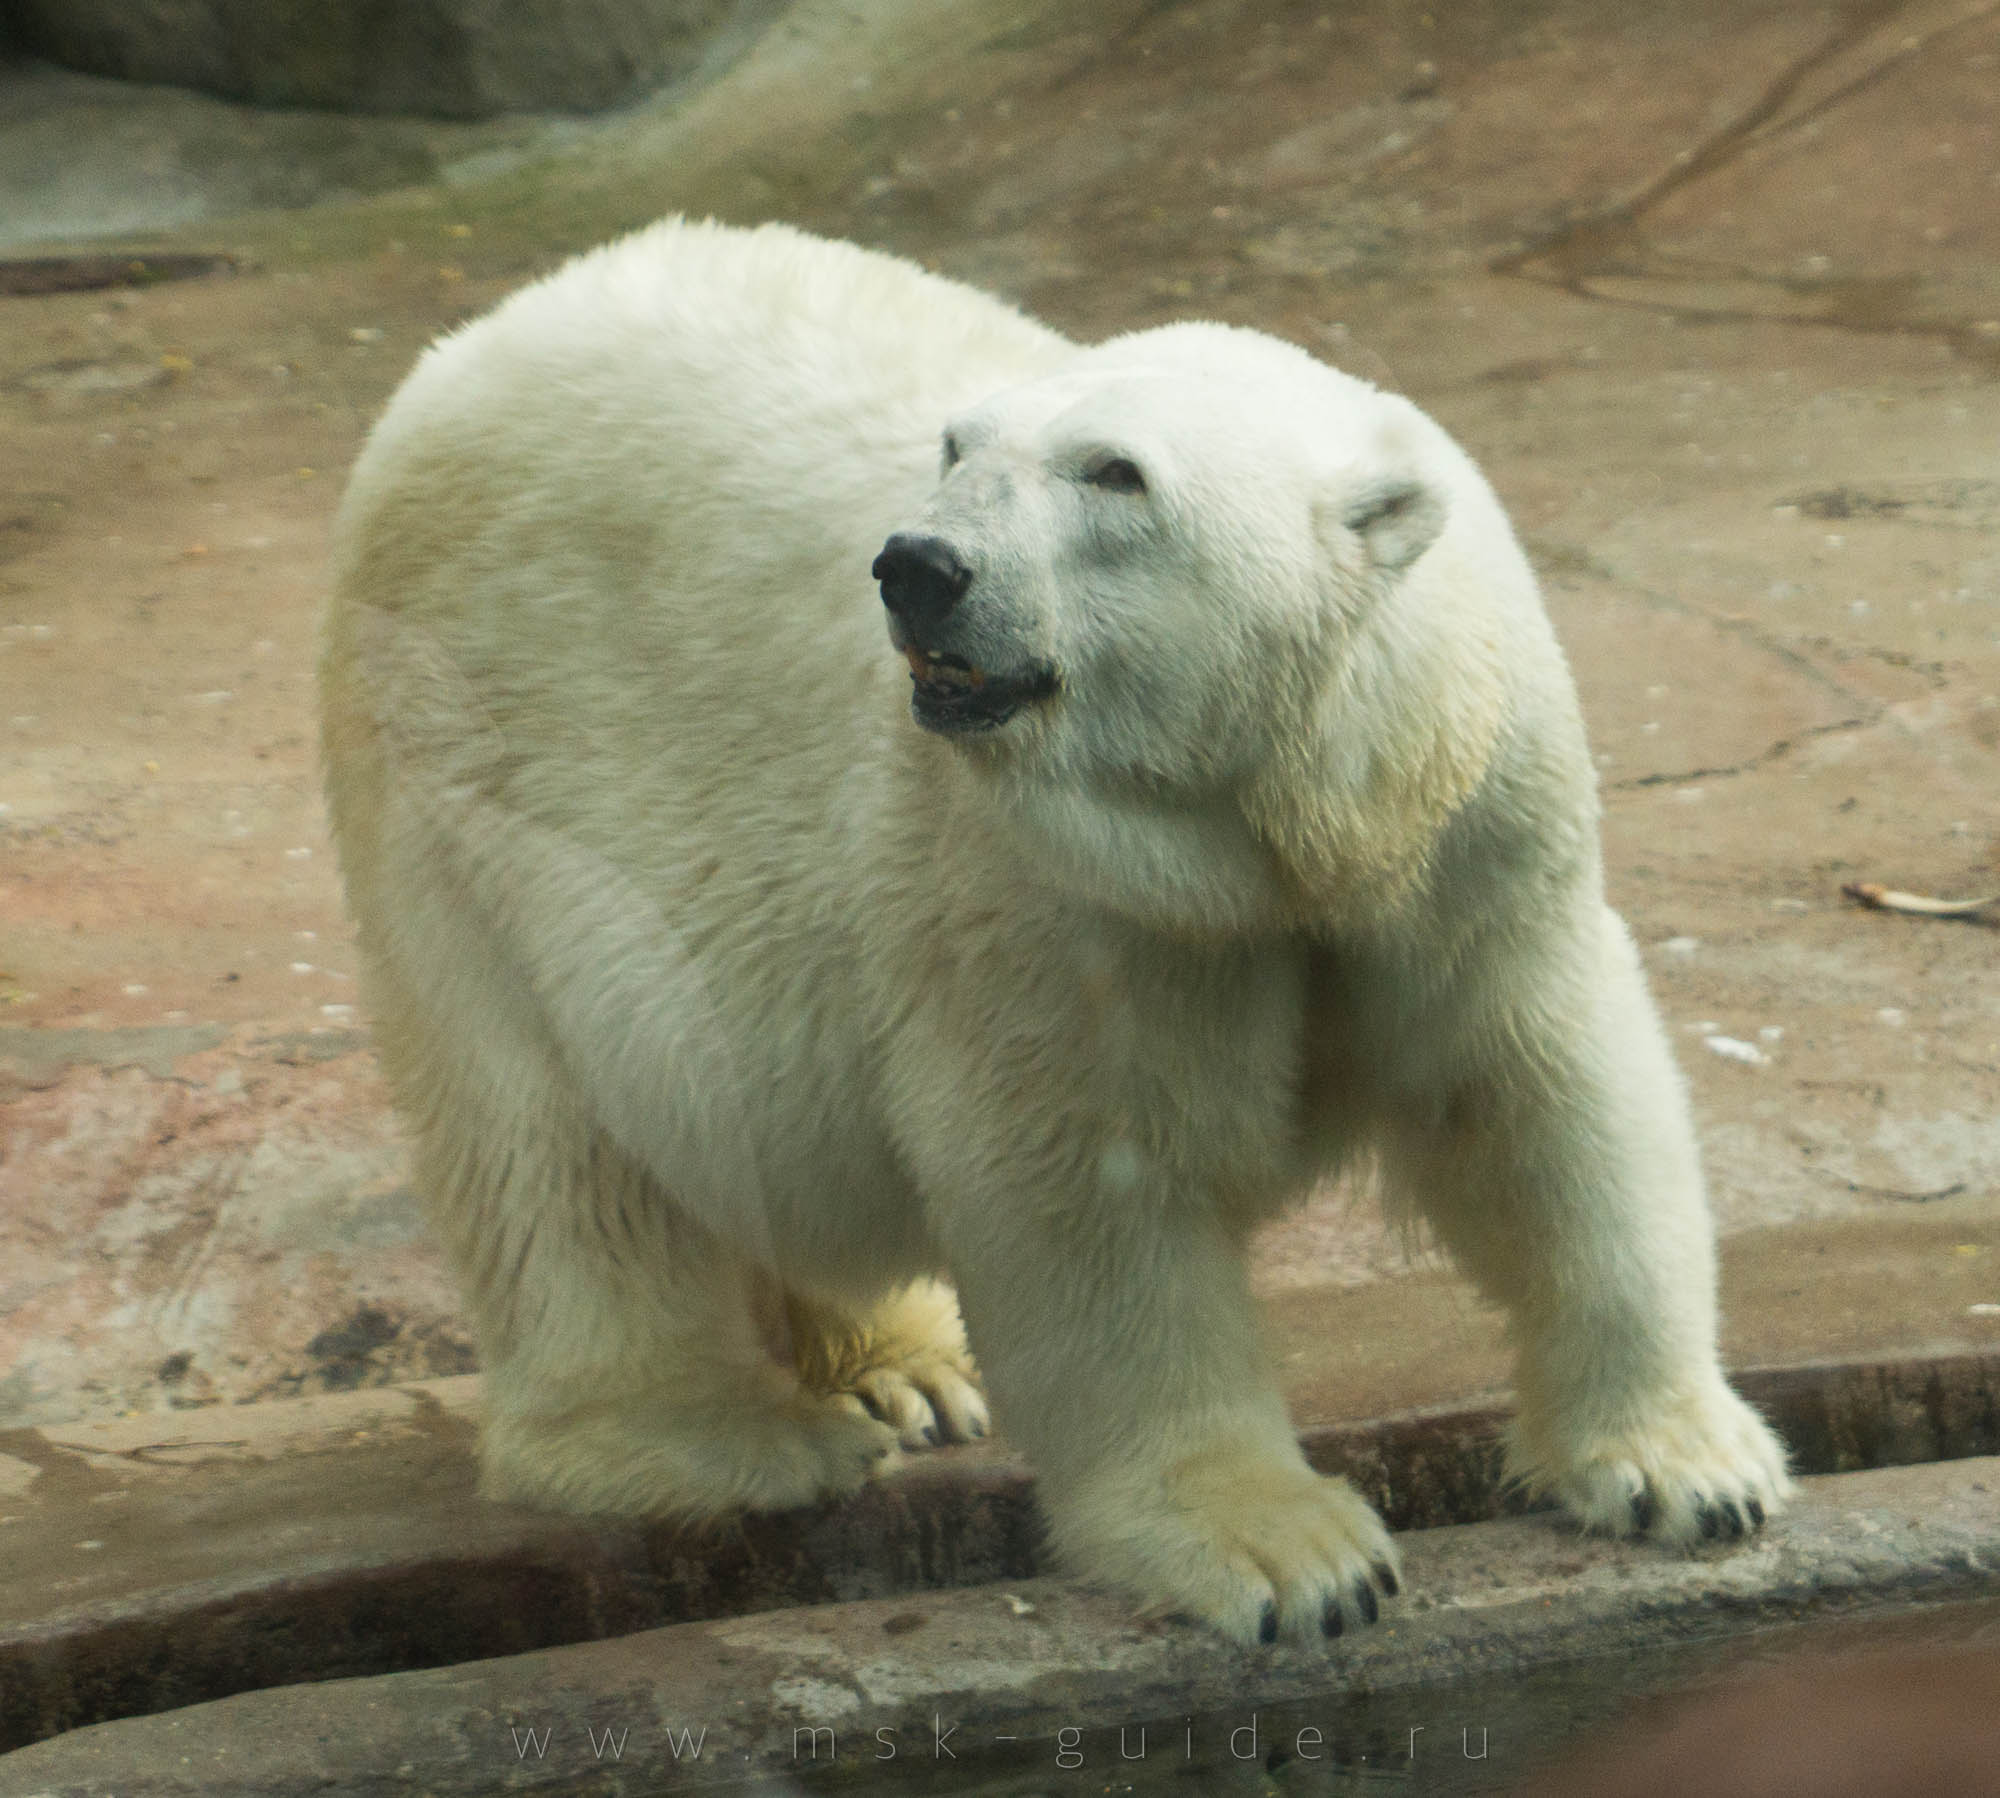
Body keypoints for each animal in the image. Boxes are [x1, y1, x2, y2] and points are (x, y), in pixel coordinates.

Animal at [320, 217, 1791, 1647]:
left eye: (1115, 473)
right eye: (957, 446)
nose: (917, 567)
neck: (1269, 818)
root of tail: (472, 344)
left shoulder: (1459, 833)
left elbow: (1541, 1097)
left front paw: (1688, 1471)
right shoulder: (1053, 899)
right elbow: (1094, 1192)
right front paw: (1292, 1556)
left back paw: (905, 1368)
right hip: (474, 788)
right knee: (560, 1151)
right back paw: (733, 1436)